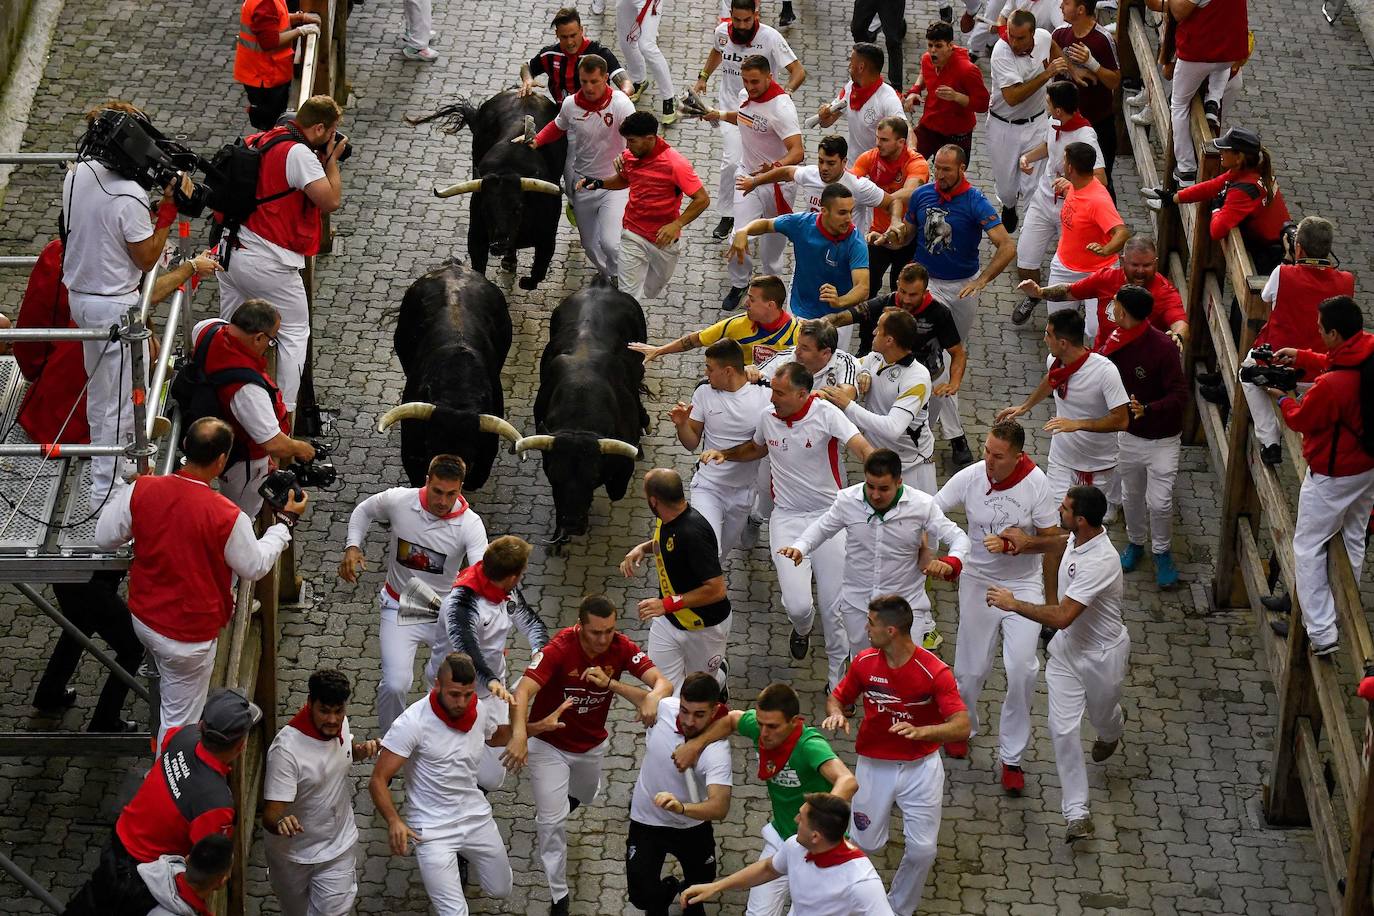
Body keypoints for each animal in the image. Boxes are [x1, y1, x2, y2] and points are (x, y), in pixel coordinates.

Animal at [381, 260, 519, 491]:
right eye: (430, 444)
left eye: (471, 452)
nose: (448, 467)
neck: (458, 391)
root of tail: (453, 266)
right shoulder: (412, 456)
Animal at [406, 88, 563, 289]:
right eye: (486, 209)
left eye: (518, 209)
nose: (498, 245)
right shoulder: (476, 236)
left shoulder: (547, 239)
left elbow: (537, 274)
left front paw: (526, 280)